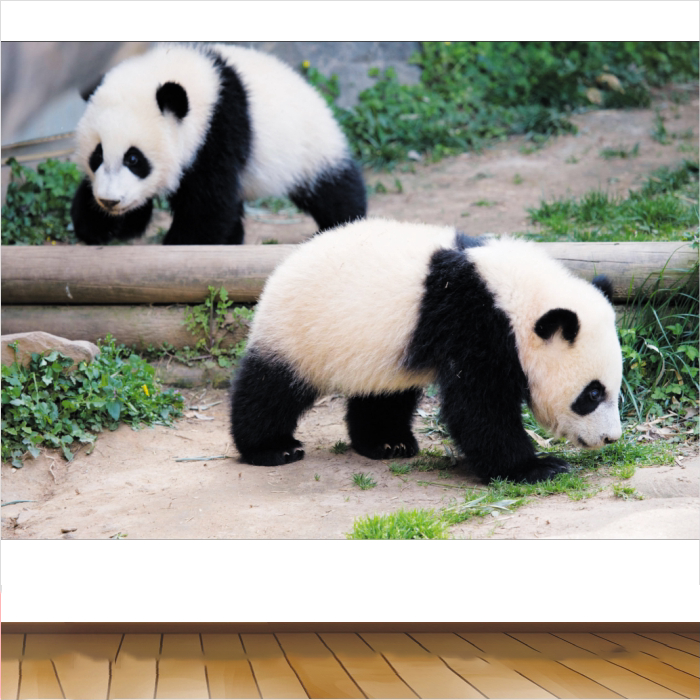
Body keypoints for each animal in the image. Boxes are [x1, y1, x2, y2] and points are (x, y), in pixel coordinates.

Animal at [70, 43, 366, 245]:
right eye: (97, 155)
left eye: (134, 159)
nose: (109, 200)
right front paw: (98, 225)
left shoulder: (219, 130)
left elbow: (209, 203)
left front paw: (181, 244)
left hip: (310, 147)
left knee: (334, 190)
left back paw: (342, 225)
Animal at [230, 219, 623, 484]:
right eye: (591, 394)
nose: (610, 438)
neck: (515, 297)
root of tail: (284, 264)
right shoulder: (473, 322)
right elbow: (478, 407)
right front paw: (535, 467)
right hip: (299, 330)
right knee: (271, 388)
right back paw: (273, 448)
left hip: (377, 350)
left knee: (384, 394)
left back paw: (387, 443)